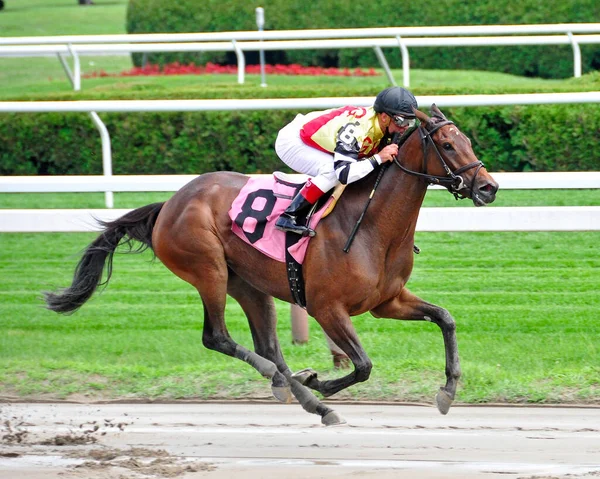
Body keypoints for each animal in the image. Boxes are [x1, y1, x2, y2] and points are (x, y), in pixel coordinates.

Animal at [45, 104, 496, 424]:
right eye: (449, 145)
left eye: (468, 140)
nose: (489, 187)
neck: (371, 225)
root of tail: (169, 204)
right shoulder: (326, 307)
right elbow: (364, 365)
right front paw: (321, 380)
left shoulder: (387, 302)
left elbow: (445, 318)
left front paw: (448, 390)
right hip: (208, 269)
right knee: (219, 338)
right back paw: (291, 384)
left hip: (248, 284)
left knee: (269, 347)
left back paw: (306, 397)